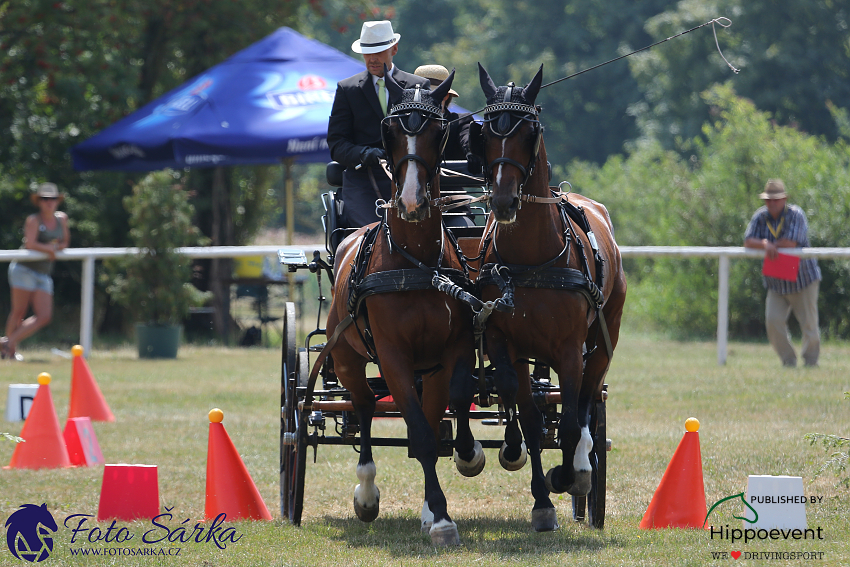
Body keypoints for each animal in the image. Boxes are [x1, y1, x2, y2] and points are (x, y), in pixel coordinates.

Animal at [322, 70, 474, 544]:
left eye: (439, 129)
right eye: (387, 131)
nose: (410, 203)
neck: (415, 261)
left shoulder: (450, 350)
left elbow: (446, 410)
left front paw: (459, 467)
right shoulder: (393, 357)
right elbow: (419, 434)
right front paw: (441, 517)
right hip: (346, 357)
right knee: (364, 408)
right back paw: (367, 494)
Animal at [468, 64, 628, 536]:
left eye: (528, 132)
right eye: (486, 133)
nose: (504, 201)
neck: (532, 257)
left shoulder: (570, 350)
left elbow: (572, 421)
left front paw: (567, 475)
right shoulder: (507, 343)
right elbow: (529, 415)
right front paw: (540, 498)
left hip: (603, 340)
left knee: (588, 402)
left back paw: (582, 471)